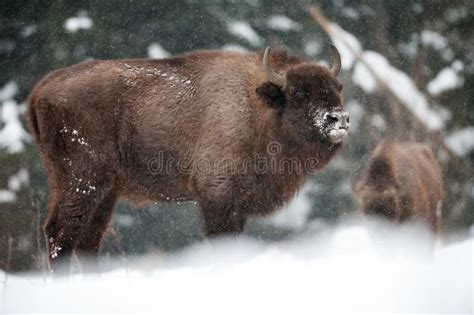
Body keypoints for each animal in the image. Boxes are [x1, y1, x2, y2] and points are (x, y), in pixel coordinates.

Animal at [27, 45, 350, 272]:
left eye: (337, 88)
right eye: (297, 92)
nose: (339, 119)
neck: (257, 107)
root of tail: (42, 90)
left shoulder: (239, 204)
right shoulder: (217, 194)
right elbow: (221, 240)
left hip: (105, 193)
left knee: (87, 241)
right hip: (82, 181)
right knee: (60, 231)